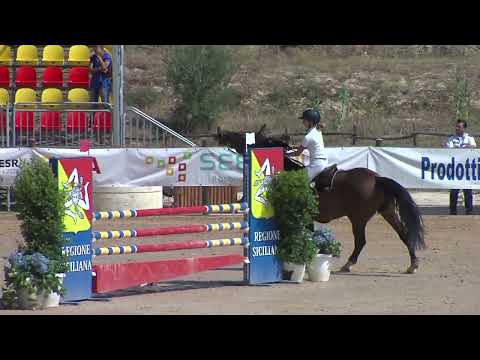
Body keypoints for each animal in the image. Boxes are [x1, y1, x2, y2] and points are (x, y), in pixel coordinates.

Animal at [216, 126, 426, 272]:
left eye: (247, 138)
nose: (222, 134)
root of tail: (376, 178)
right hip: (388, 212)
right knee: (404, 234)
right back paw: (413, 265)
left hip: (358, 218)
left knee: (361, 241)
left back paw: (348, 265)